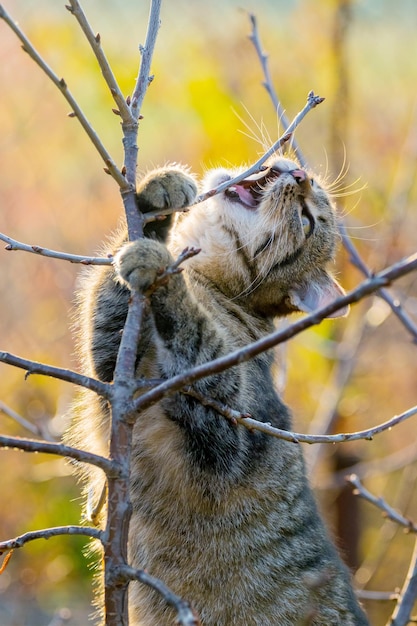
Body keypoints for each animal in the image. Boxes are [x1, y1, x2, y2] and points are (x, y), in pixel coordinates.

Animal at [66, 158, 368, 620]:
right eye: (311, 191)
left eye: (307, 220)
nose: (299, 175)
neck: (215, 284)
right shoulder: (115, 369)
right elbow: (110, 295)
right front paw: (159, 193)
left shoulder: (225, 421)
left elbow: (194, 330)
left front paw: (161, 267)